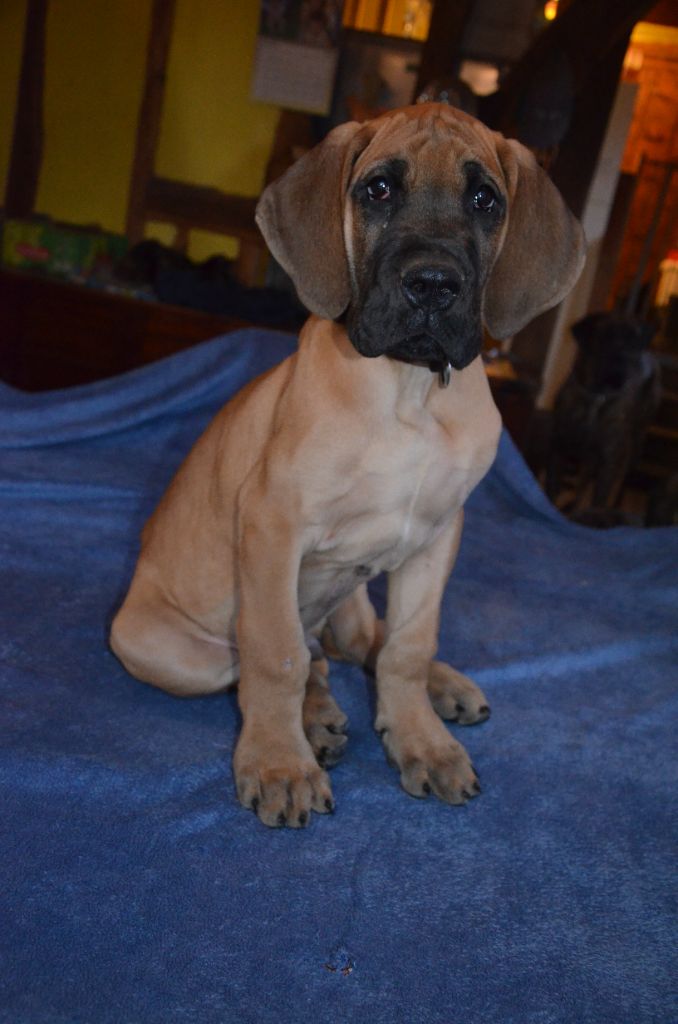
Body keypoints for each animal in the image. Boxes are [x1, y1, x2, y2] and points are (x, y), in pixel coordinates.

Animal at [110, 104, 585, 827]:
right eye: (378, 189)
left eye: (485, 200)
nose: (432, 286)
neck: (409, 389)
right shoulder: (273, 526)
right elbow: (274, 655)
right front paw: (279, 762)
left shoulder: (438, 536)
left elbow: (409, 647)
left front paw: (422, 738)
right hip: (158, 647)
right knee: (289, 658)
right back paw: (315, 719)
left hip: (354, 591)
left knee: (359, 644)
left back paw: (438, 686)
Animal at [545, 312, 661, 520]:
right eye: (604, 338)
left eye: (634, 343)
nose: (624, 370)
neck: (595, 399)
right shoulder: (558, 447)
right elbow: (551, 488)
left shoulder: (609, 461)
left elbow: (599, 499)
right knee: (583, 482)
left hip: (635, 445)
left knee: (621, 482)